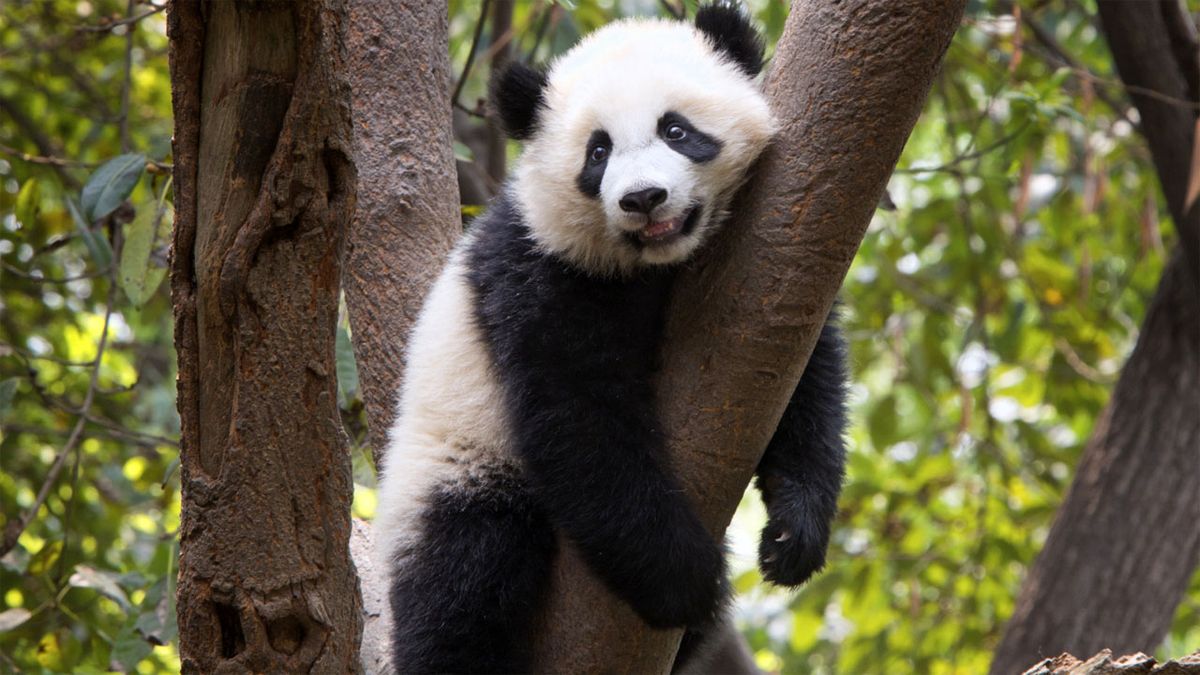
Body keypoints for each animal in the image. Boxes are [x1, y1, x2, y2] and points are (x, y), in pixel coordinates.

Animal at [373, 4, 848, 673]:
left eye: (676, 130)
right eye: (597, 151)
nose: (643, 198)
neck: (652, 267)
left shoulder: (762, 280)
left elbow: (804, 373)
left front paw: (793, 531)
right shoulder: (537, 275)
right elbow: (577, 419)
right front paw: (690, 578)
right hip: (451, 466)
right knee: (465, 576)